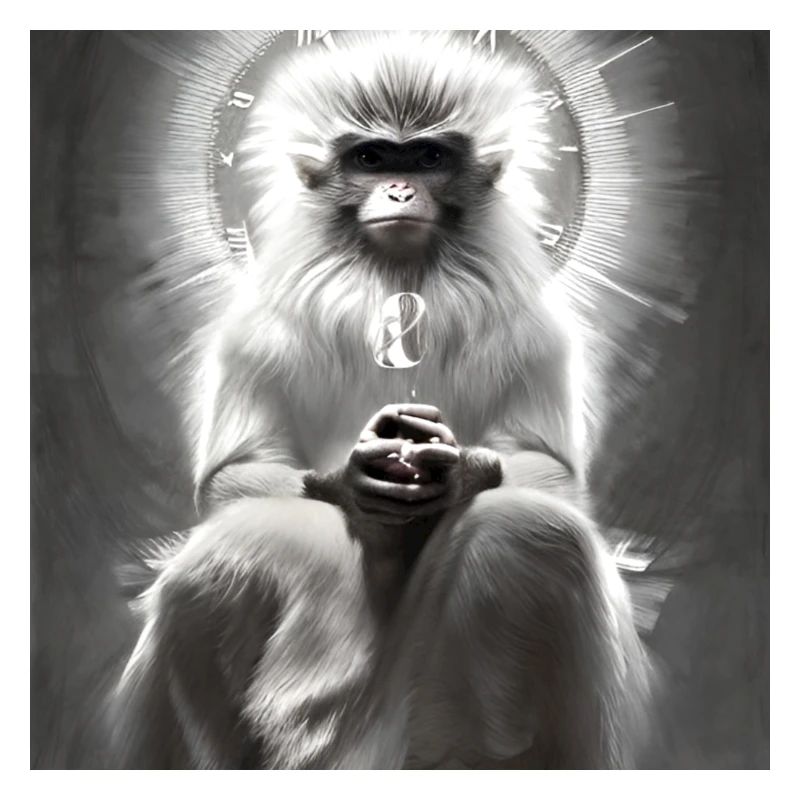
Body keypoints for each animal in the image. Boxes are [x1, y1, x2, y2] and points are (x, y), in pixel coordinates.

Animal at [111, 31, 652, 769]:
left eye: (426, 158)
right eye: (370, 159)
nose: (398, 189)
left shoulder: (538, 328)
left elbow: (554, 475)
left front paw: (461, 472)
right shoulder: (252, 326)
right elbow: (233, 477)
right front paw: (351, 479)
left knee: (533, 533)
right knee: (222, 564)